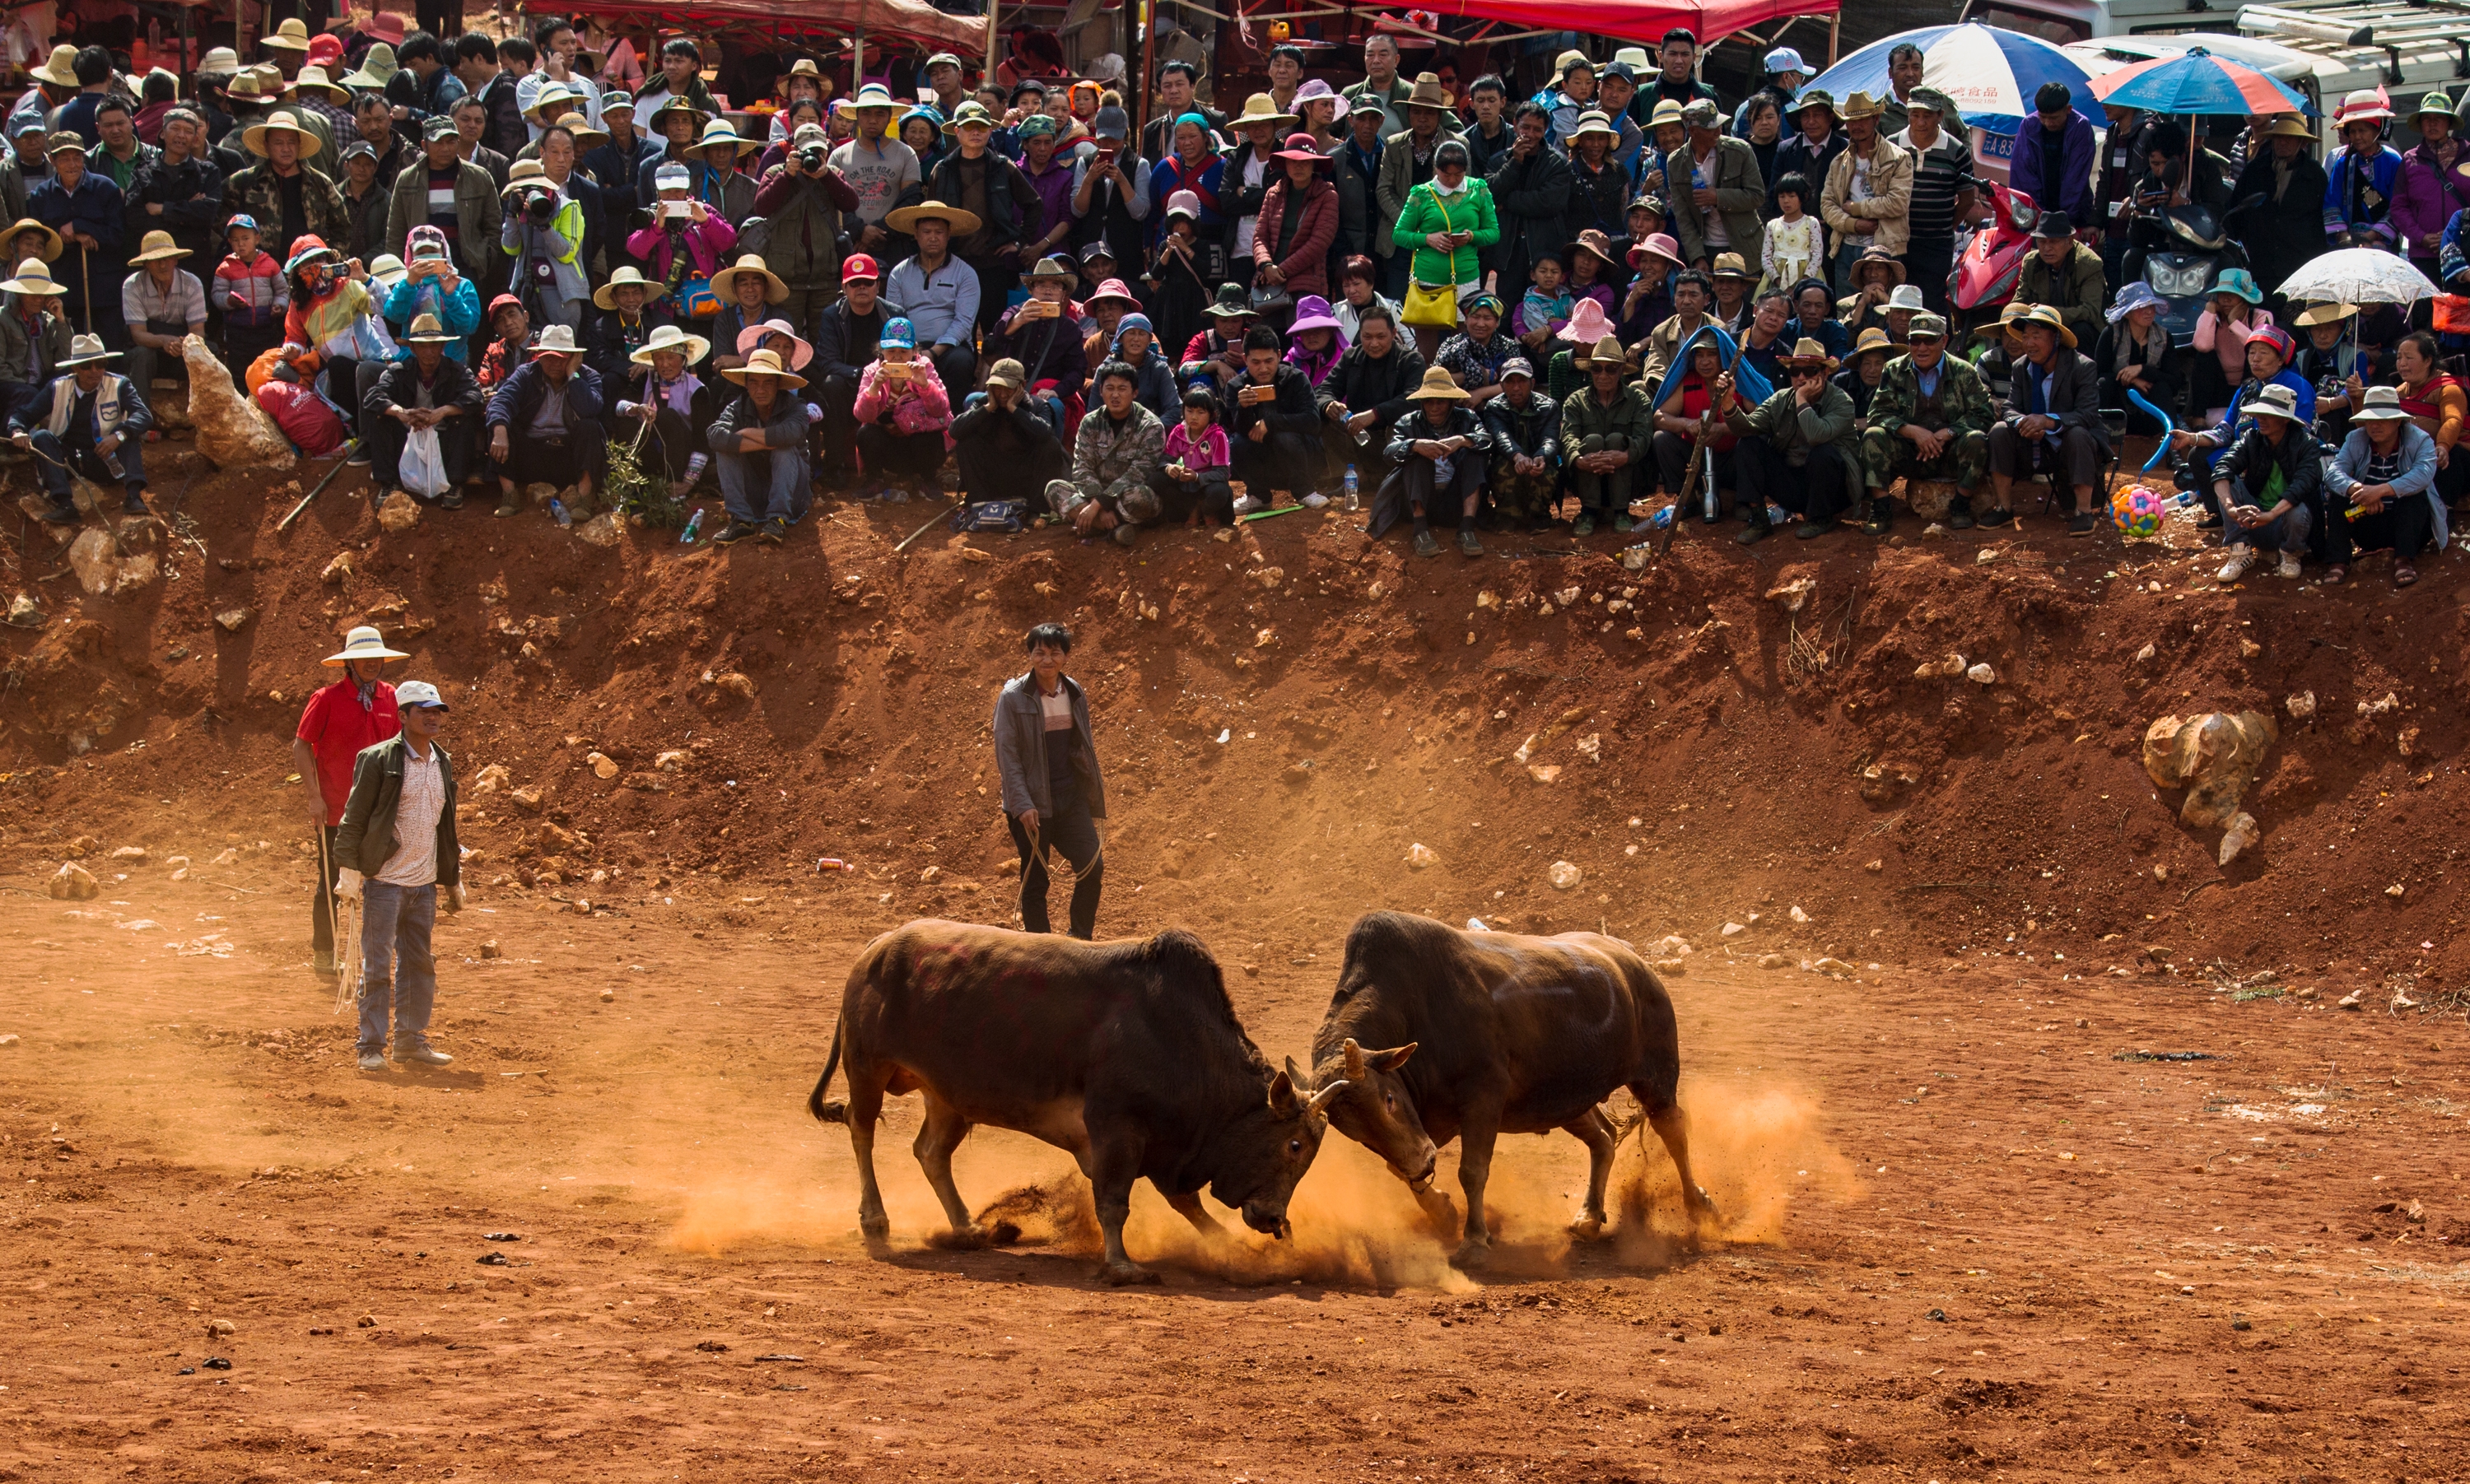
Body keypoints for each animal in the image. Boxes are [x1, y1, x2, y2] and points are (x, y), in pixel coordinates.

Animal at [810, 919, 1354, 1274]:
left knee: (930, 1153)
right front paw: (1121, 1266)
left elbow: (1187, 1204)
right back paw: (876, 1221)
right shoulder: (1116, 1131)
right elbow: (1114, 1202)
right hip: (867, 1069)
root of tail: (877, 948)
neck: (1182, 1041)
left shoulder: (1165, 1150)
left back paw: (969, 1229)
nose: (1274, 1218)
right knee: (861, 1131)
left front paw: (1230, 1247)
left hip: (948, 1098)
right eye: (1295, 1145)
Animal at [1294, 909, 1719, 1264]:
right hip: (1565, 1101)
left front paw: (1474, 1241)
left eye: (1388, 1099)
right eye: (1355, 1132)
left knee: (1672, 1130)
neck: (1414, 1010)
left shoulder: (1483, 1099)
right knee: (1603, 1139)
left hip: (1655, 1076)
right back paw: (1588, 1216)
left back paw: (1698, 1204)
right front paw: (1442, 1211)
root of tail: (1631, 958)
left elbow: (1472, 1171)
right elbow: (1397, 1168)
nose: (1424, 1163)